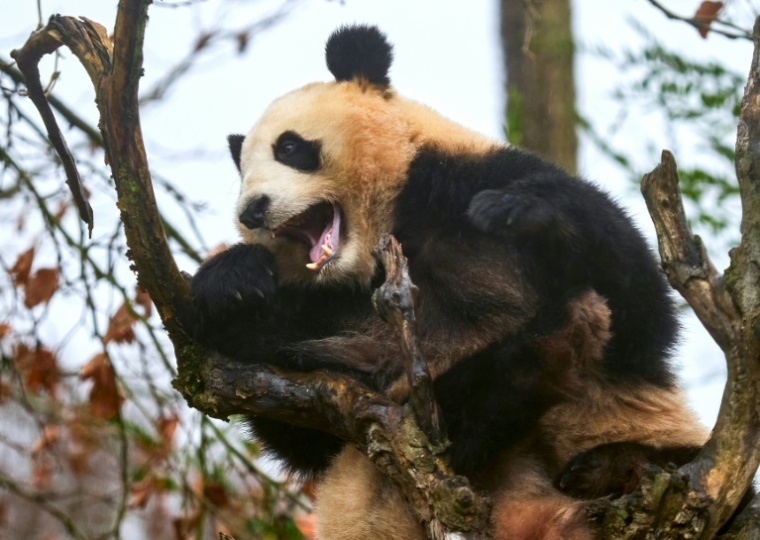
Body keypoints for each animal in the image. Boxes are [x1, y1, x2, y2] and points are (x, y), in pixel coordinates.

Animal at [189, 25, 712, 540]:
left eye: (290, 147)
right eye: (242, 175)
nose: (252, 211)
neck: (387, 235)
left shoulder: (467, 179)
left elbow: (641, 313)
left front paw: (525, 211)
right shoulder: (328, 316)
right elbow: (301, 427)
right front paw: (232, 283)